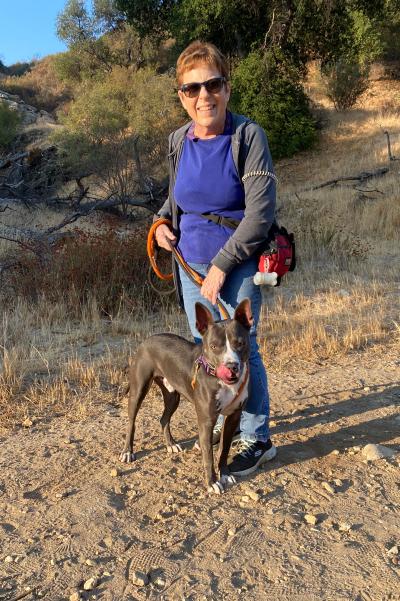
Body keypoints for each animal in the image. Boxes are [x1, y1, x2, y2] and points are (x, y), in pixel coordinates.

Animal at [119, 298, 253, 492]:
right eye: (214, 346)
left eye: (240, 343)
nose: (231, 366)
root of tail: (146, 340)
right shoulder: (206, 421)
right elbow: (208, 456)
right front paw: (212, 482)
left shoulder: (233, 417)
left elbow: (224, 449)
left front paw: (225, 474)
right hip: (139, 390)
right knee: (132, 421)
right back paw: (128, 451)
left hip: (173, 396)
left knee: (164, 419)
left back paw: (171, 444)